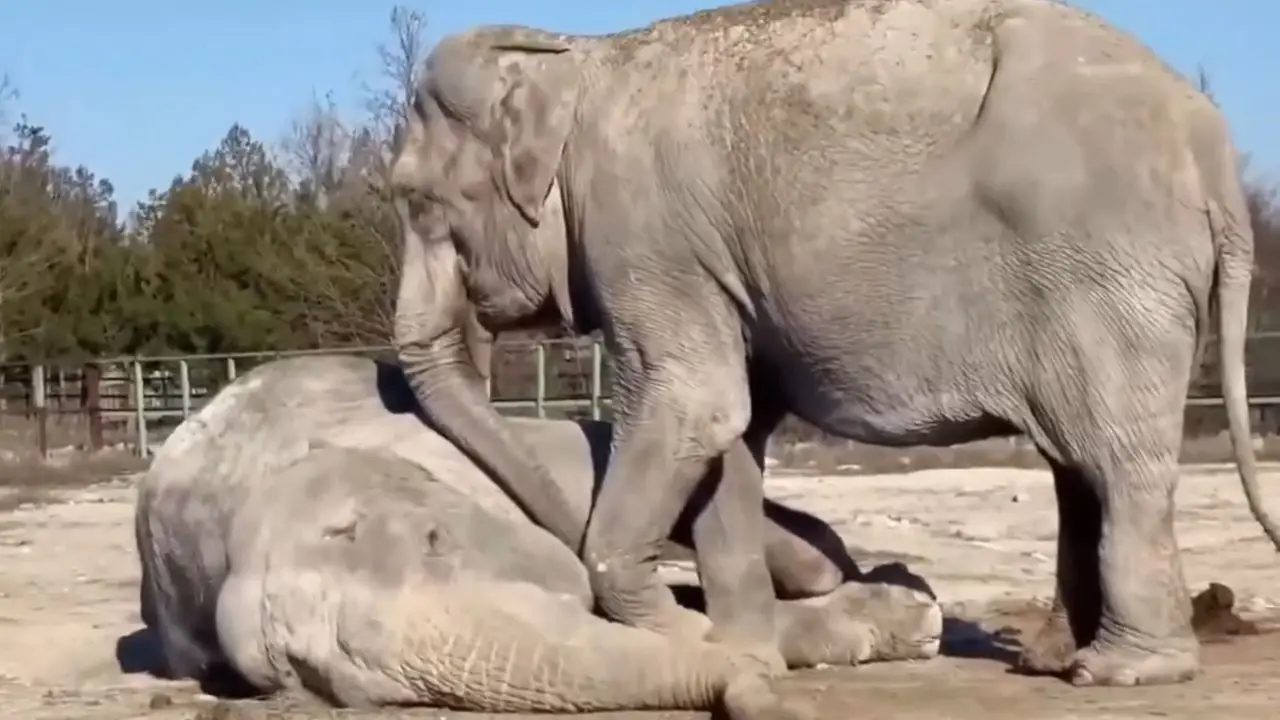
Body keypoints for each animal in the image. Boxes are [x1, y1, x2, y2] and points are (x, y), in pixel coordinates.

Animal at [386, 0, 1280, 689]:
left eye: (413, 198)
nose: (860, 568)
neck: (574, 54)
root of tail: (1211, 146)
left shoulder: (644, 236)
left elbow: (699, 402)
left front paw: (701, 644)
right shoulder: (711, 264)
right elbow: (733, 430)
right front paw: (745, 651)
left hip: (1106, 271)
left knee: (1115, 460)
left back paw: (1120, 672)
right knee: (1078, 464)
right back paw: (1051, 661)